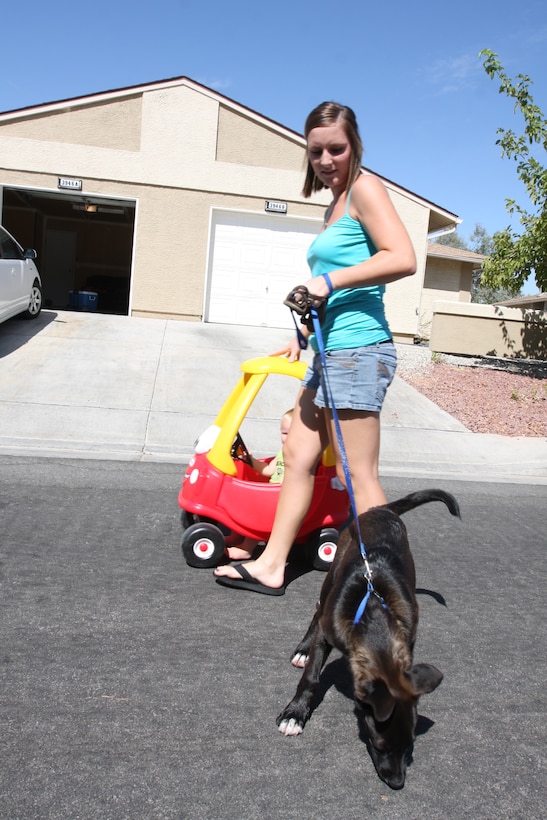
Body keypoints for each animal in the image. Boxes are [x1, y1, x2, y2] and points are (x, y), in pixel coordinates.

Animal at [276, 486, 460, 788]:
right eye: (379, 744)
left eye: (410, 745)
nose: (397, 783)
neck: (374, 615)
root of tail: (380, 510)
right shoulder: (327, 633)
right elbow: (311, 677)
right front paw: (296, 713)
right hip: (332, 574)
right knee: (317, 612)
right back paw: (303, 650)